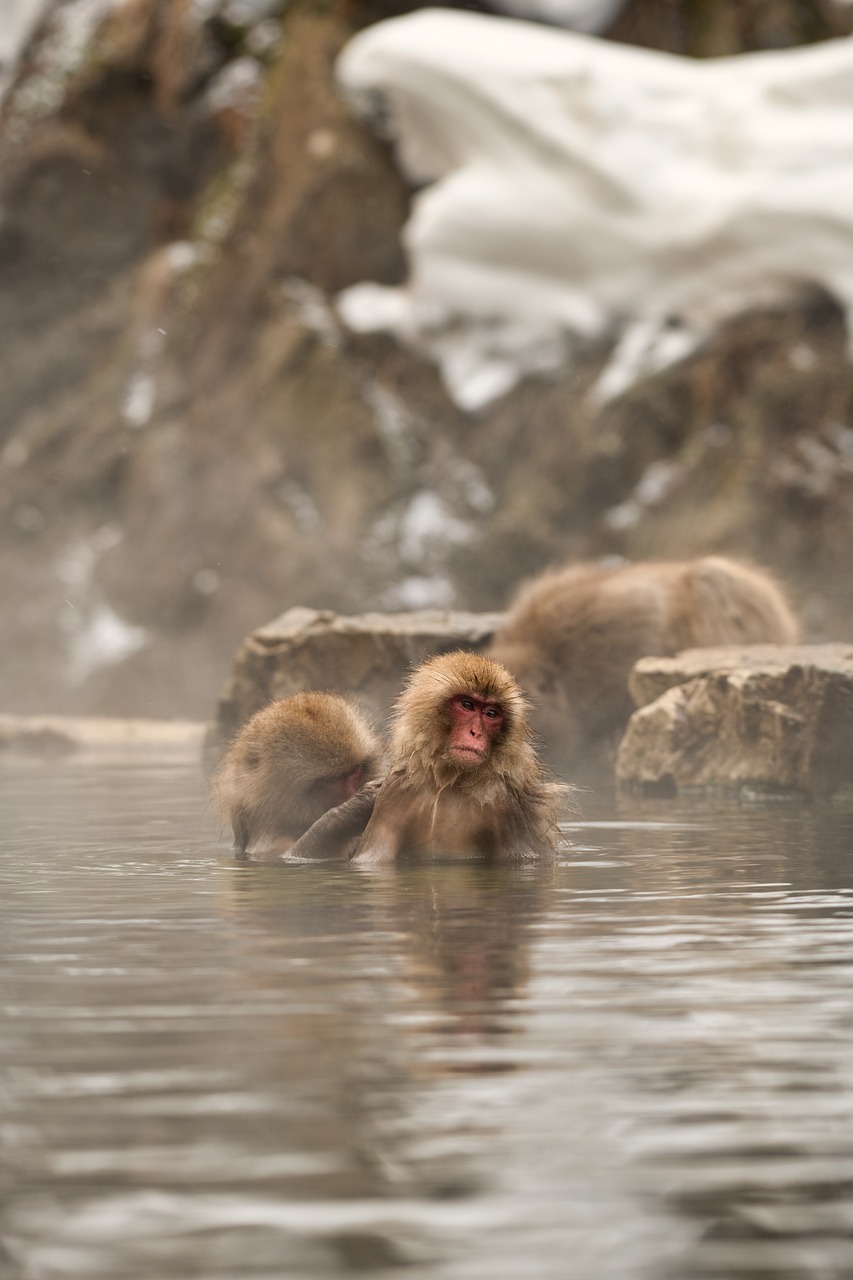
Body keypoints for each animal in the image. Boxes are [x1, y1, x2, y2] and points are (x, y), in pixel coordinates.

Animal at [212, 691, 381, 860]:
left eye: (355, 771)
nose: (352, 794)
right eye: (330, 780)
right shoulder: (269, 840)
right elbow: (289, 855)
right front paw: (353, 808)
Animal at [289, 655, 568, 865]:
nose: (475, 733)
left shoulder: (501, 799)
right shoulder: (397, 788)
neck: (448, 780)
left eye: (491, 713)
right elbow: (371, 859)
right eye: (467, 705)